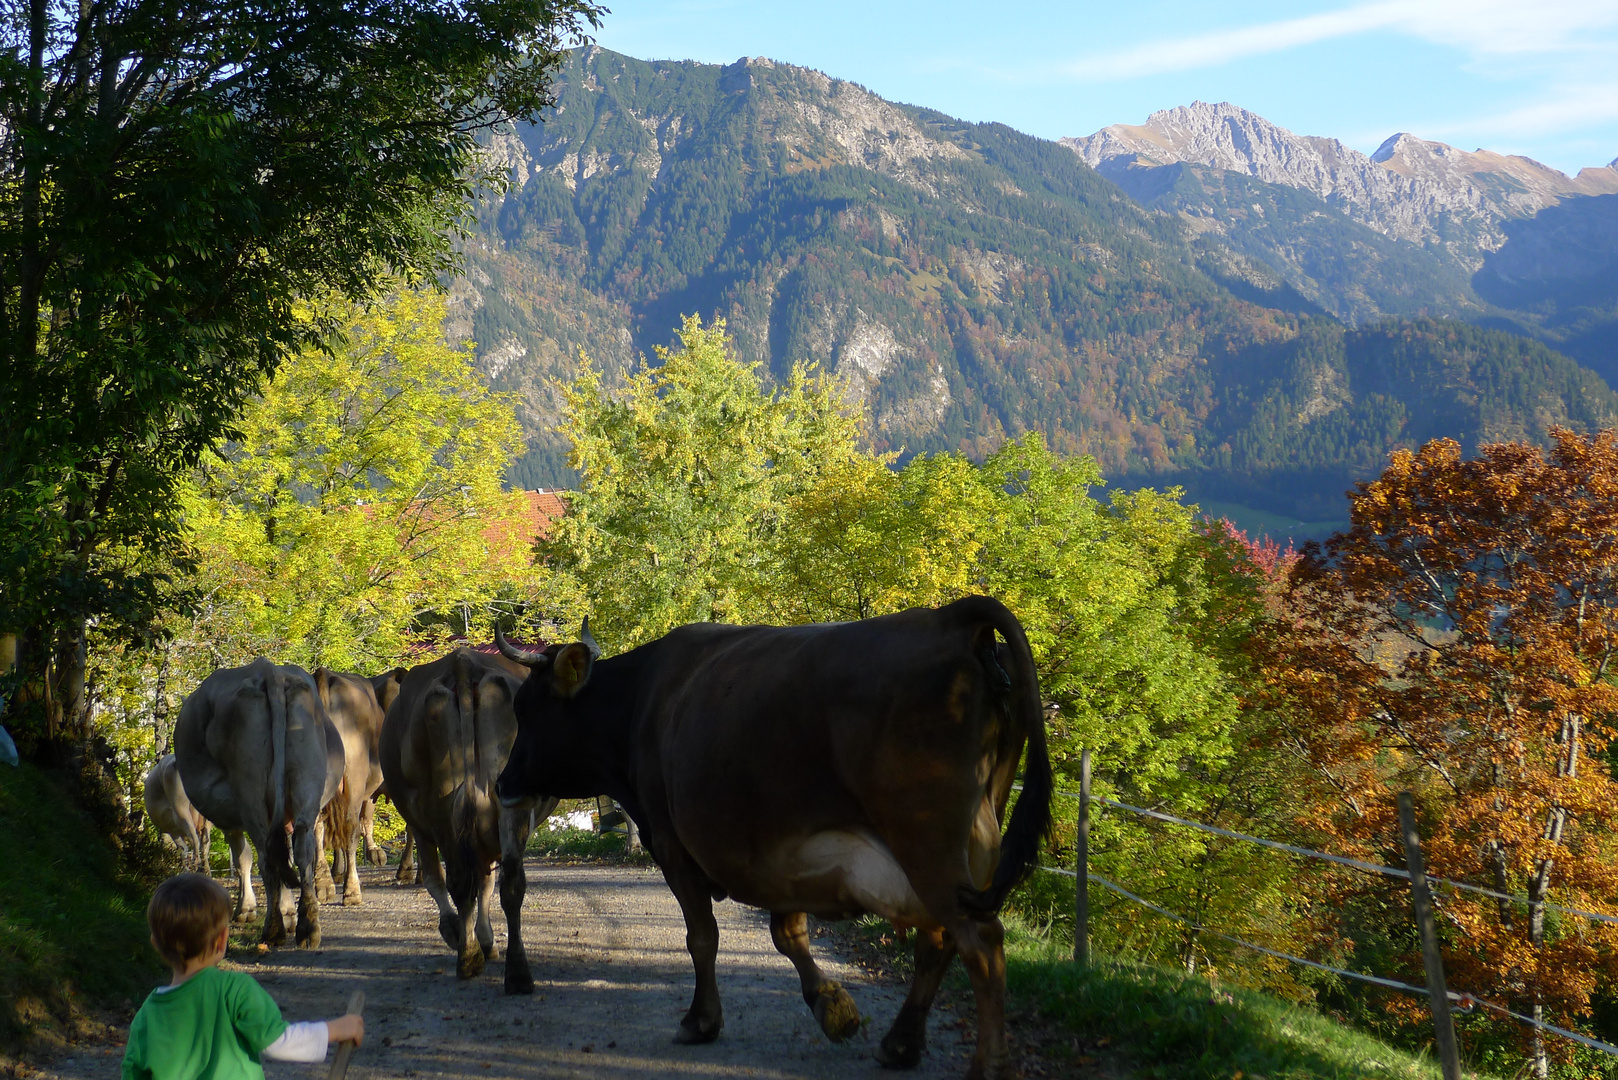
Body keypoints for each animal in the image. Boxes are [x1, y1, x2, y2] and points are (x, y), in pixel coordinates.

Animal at [173, 660, 344, 945]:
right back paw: (308, 926)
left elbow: (242, 857)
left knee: (266, 855)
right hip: (308, 782)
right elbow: (285, 853)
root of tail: (268, 671)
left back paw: (273, 930)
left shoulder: (230, 821)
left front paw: (247, 909)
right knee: (301, 848)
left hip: (249, 792)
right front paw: (289, 913)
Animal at [378, 647, 556, 990]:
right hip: (507, 800)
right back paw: (516, 973)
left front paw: (459, 931)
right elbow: (482, 883)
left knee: (463, 880)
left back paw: (469, 957)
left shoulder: (420, 824)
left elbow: (440, 879)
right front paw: (482, 938)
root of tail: (462, 663)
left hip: (441, 805)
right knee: (509, 881)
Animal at [491, 599, 1048, 1080]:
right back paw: (901, 1044)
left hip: (928, 840)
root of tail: (952, 617)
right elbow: (787, 934)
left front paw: (701, 1020)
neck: (641, 703)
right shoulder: (779, 850)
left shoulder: (672, 843)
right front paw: (831, 1004)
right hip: (968, 841)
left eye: (527, 708)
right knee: (939, 941)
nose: (502, 784)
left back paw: (987, 1066)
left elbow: (702, 936)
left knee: (979, 942)